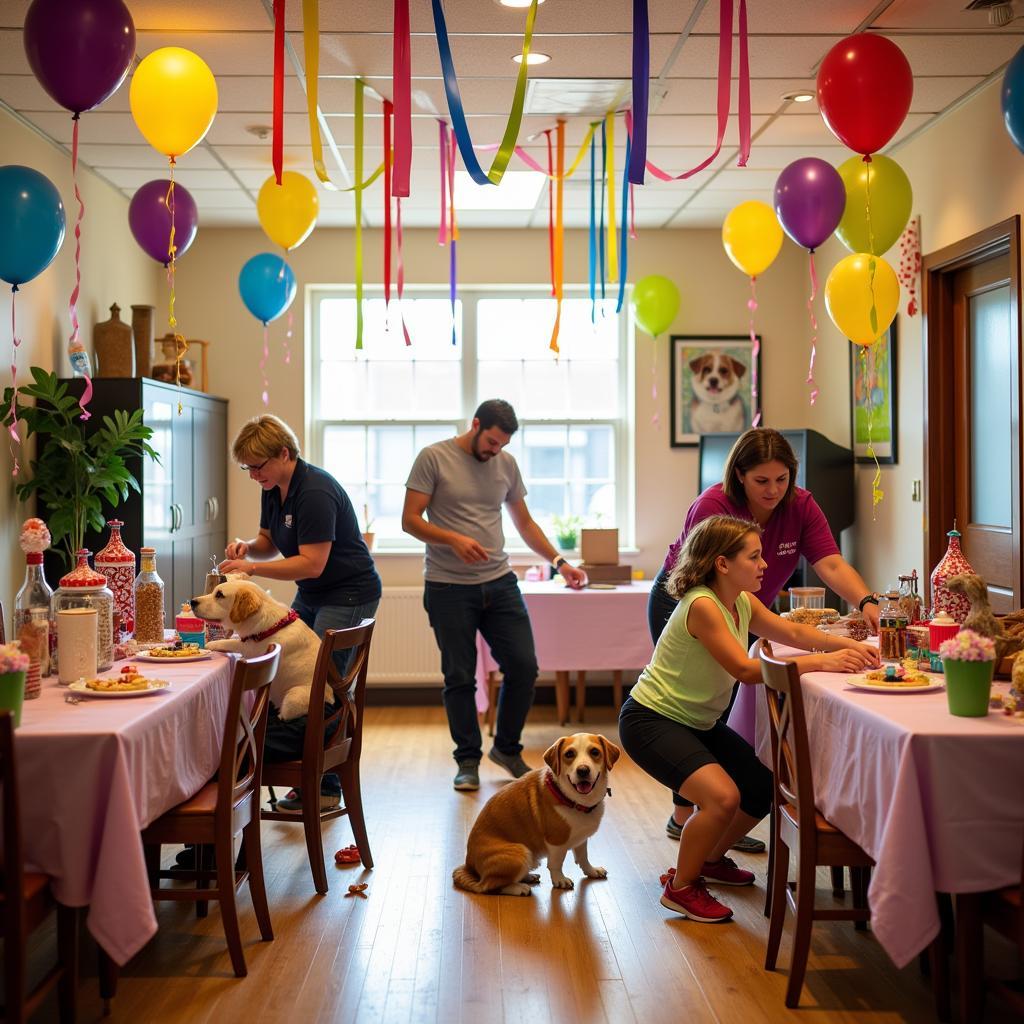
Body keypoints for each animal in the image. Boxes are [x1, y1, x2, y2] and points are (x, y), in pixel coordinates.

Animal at [190, 577, 321, 720]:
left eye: (219, 594)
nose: (192, 602)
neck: (270, 626)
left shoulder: (251, 648)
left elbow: (231, 642)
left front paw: (212, 644)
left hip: (293, 696)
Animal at [454, 729, 614, 897]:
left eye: (595, 752)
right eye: (569, 754)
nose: (583, 770)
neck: (574, 800)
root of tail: (468, 865)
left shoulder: (581, 839)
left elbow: (583, 858)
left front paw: (592, 871)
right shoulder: (556, 842)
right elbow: (556, 863)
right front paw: (560, 880)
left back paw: (528, 877)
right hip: (521, 852)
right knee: (489, 886)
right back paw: (518, 888)